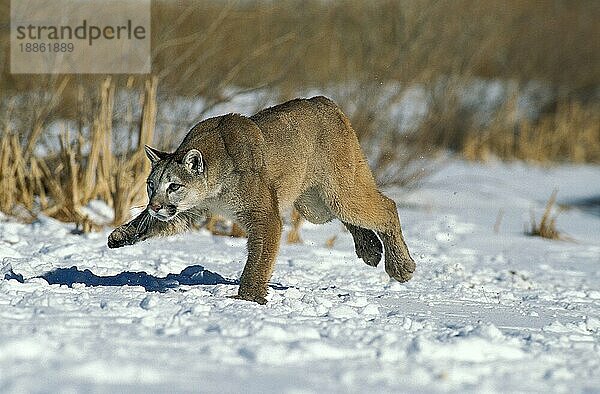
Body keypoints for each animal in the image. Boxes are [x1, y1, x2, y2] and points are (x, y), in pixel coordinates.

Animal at [108, 96, 414, 304]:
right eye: (151, 185)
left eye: (174, 186)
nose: (155, 205)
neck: (214, 186)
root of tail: (324, 101)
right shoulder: (190, 210)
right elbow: (154, 222)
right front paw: (121, 234)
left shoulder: (264, 215)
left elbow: (259, 259)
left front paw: (249, 297)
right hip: (314, 205)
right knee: (351, 216)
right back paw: (370, 249)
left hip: (338, 192)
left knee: (386, 206)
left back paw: (400, 266)